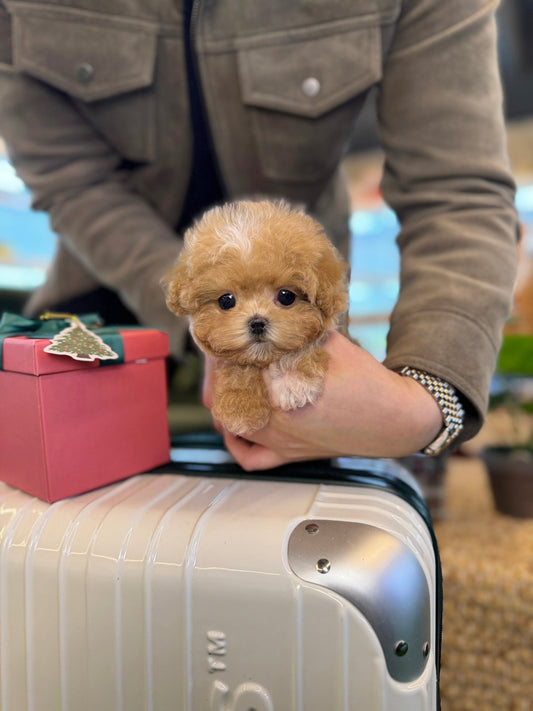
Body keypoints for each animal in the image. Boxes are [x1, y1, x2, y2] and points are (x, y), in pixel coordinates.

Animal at [164, 197, 348, 436]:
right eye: (226, 301)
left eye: (286, 296)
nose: (257, 323)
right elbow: (237, 368)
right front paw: (240, 406)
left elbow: (302, 348)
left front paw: (293, 381)